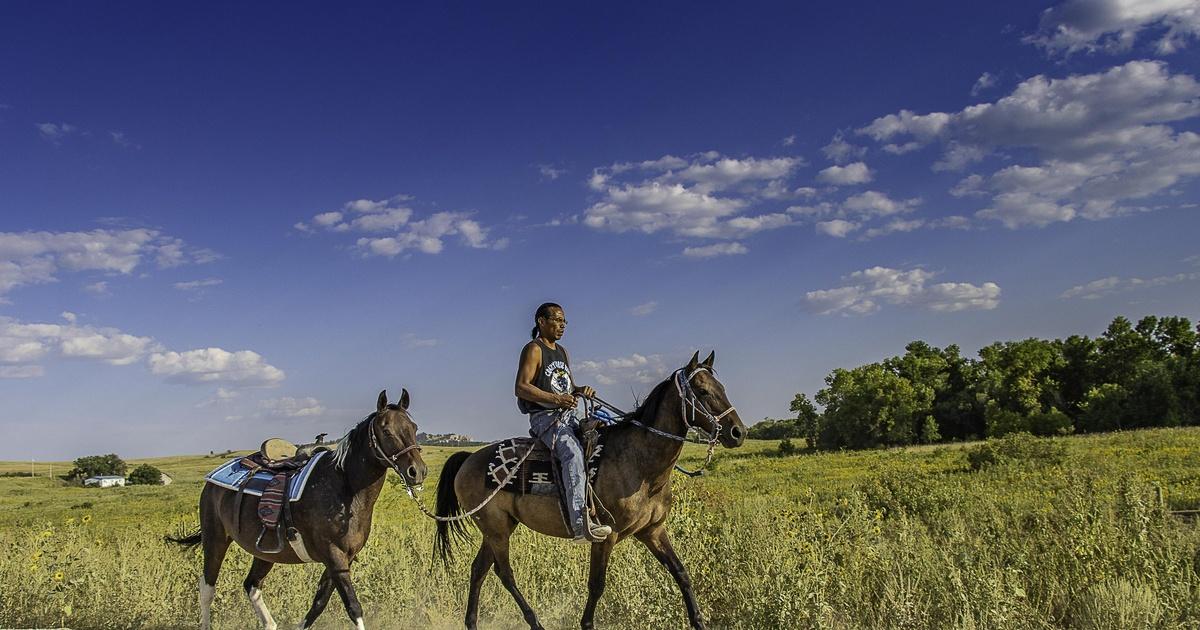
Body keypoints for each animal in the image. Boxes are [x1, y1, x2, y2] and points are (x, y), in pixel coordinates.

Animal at [169, 388, 429, 628]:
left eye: (414, 427)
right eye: (386, 430)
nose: (417, 471)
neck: (345, 488)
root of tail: (212, 481)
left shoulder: (345, 559)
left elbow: (318, 604)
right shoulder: (334, 557)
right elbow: (353, 607)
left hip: (265, 551)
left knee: (252, 585)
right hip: (215, 539)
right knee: (207, 588)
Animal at [436, 350, 744, 624]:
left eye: (721, 388)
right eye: (702, 391)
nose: (738, 432)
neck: (641, 466)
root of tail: (468, 459)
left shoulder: (652, 531)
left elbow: (681, 573)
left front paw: (699, 620)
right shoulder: (605, 536)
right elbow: (597, 585)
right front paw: (586, 623)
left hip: (498, 527)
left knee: (479, 569)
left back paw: (472, 622)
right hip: (496, 527)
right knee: (504, 573)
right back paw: (534, 621)